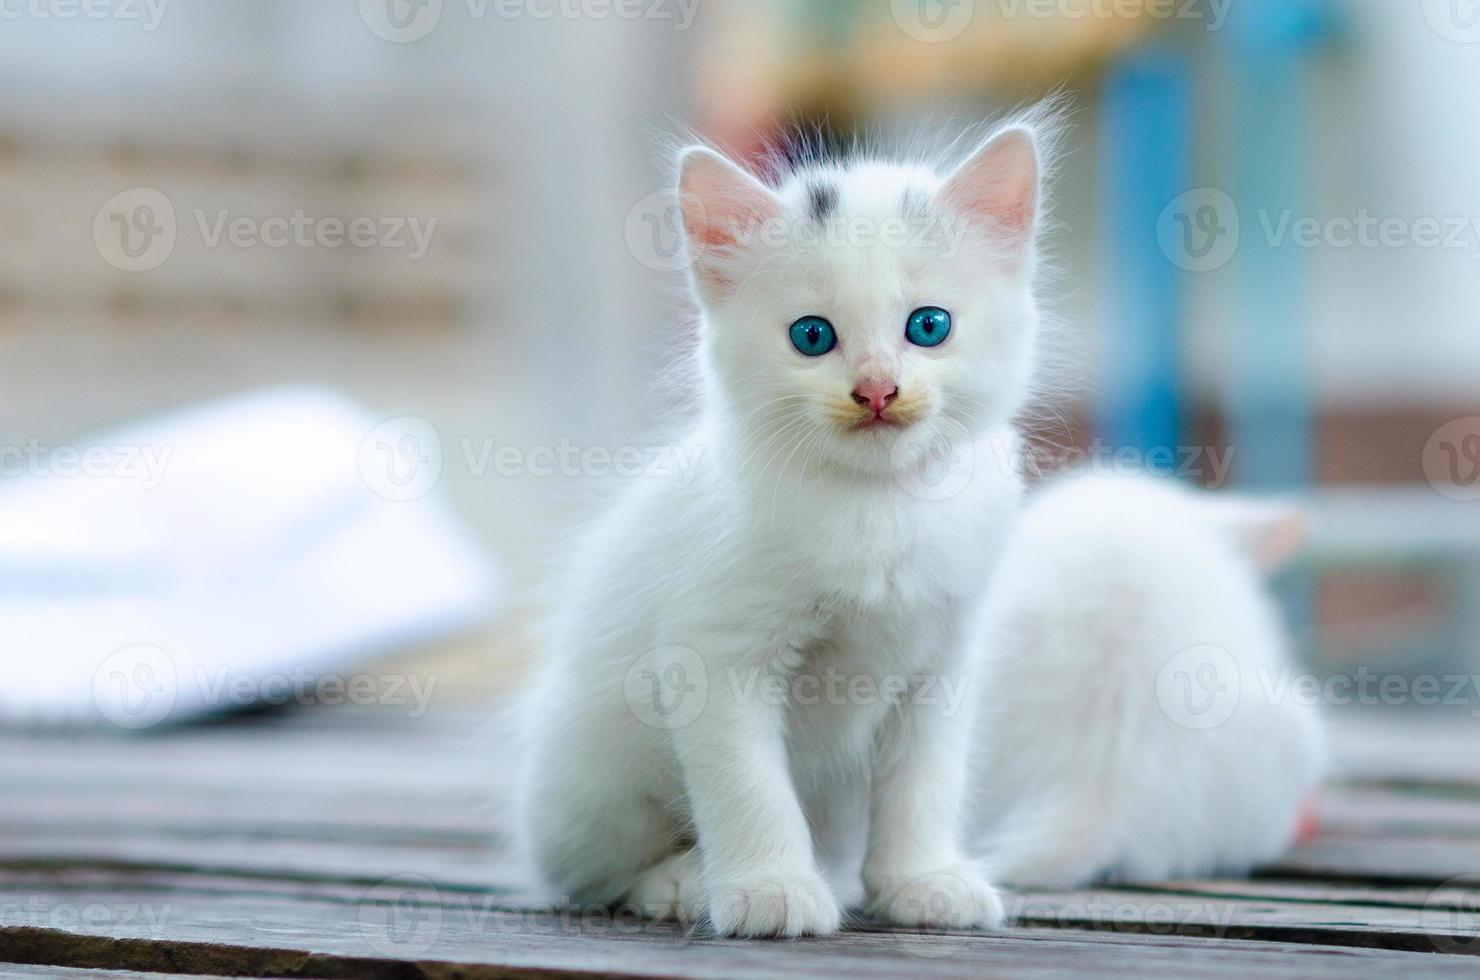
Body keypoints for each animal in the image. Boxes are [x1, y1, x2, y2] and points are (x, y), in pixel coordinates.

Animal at [515, 111, 1059, 941]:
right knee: (592, 873)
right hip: (591, 769)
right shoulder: (715, 650)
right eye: (812, 336)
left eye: (928, 326)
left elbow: (924, 780)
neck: (878, 505)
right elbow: (749, 786)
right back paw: (680, 882)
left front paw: (922, 880)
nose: (877, 390)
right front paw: (769, 890)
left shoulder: (942, 658)